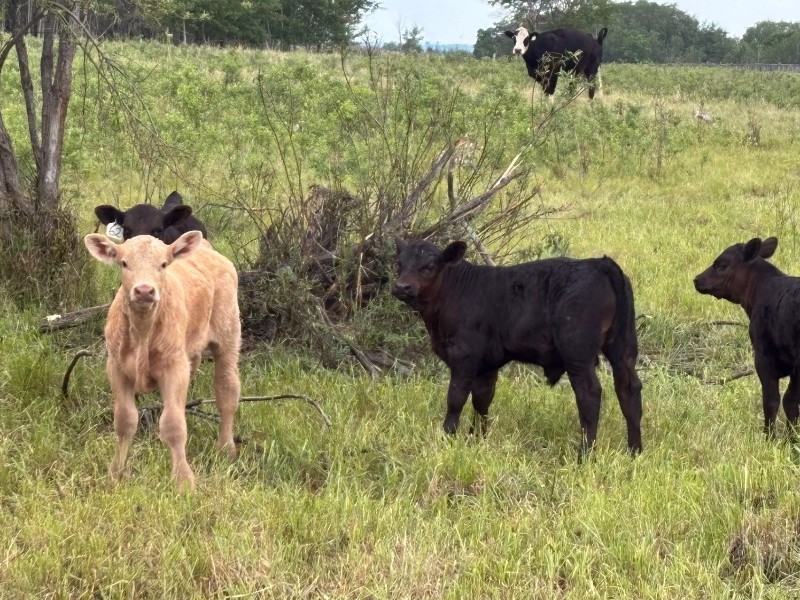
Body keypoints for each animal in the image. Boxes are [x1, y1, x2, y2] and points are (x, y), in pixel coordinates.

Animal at [84, 230, 241, 490]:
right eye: (124, 263)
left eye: (163, 264)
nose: (144, 291)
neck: (142, 332)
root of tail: (208, 250)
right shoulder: (116, 366)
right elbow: (124, 421)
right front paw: (116, 474)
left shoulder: (174, 367)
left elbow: (174, 425)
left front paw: (183, 482)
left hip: (228, 336)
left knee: (227, 391)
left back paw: (226, 448)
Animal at [392, 238, 643, 456]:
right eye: (399, 264)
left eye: (430, 266)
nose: (402, 287)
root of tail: (598, 263)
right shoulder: (486, 365)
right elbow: (482, 400)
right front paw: (476, 440)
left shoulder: (464, 357)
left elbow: (456, 398)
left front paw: (447, 438)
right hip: (622, 347)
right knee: (628, 389)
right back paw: (634, 451)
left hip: (577, 353)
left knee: (589, 394)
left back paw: (585, 455)